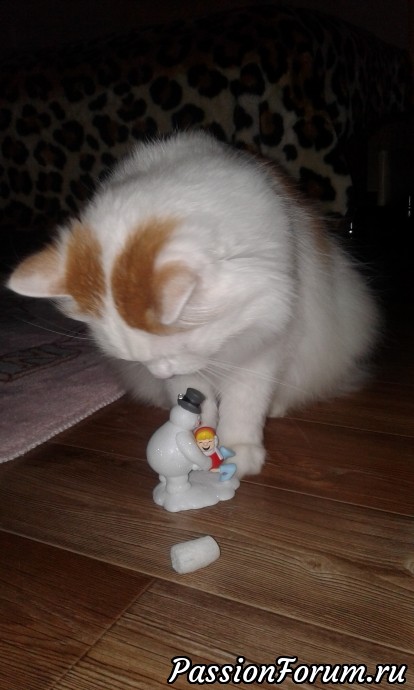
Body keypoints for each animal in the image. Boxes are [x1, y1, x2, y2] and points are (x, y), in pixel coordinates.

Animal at [7, 130, 380, 477]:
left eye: (183, 346)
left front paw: (238, 450)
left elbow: (244, 404)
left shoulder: (264, 346)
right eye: (136, 360)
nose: (158, 373)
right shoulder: (188, 375)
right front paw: (197, 440)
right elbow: (195, 401)